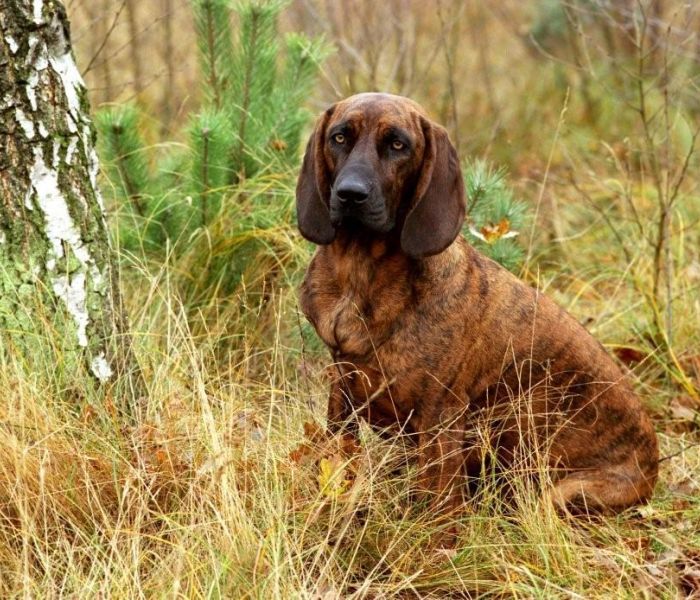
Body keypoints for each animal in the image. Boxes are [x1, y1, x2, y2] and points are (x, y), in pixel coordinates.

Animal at [296, 92, 658, 515]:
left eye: (398, 144)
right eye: (339, 137)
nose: (350, 194)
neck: (361, 273)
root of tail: (653, 466)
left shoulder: (441, 415)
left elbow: (437, 502)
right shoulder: (342, 389)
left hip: (556, 487)